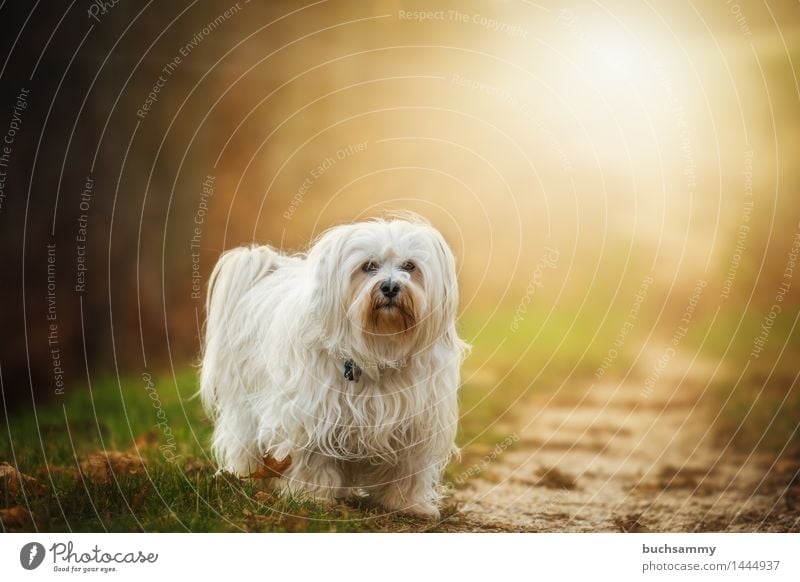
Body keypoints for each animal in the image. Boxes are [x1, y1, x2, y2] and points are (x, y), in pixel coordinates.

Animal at [199, 217, 468, 516]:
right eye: (368, 266)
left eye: (410, 266)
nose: (389, 287)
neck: (379, 347)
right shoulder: (313, 416)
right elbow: (313, 461)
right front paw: (311, 497)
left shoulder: (415, 423)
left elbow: (408, 468)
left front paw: (408, 504)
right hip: (245, 405)